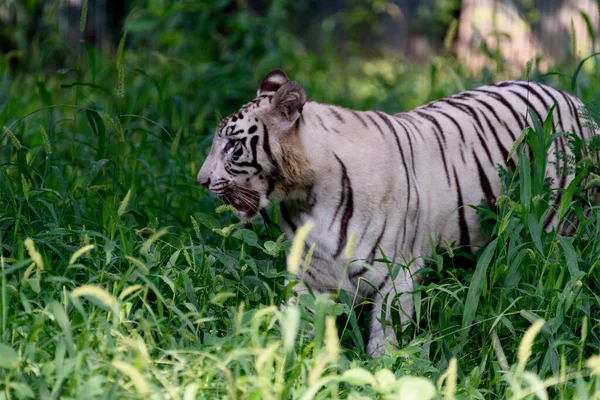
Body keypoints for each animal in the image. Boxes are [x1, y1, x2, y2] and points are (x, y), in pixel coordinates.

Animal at [199, 69, 592, 356]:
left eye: (232, 144)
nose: (202, 180)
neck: (307, 195)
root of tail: (573, 99)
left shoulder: (397, 271)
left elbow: (385, 338)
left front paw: (381, 373)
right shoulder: (308, 275)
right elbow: (297, 324)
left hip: (558, 228)